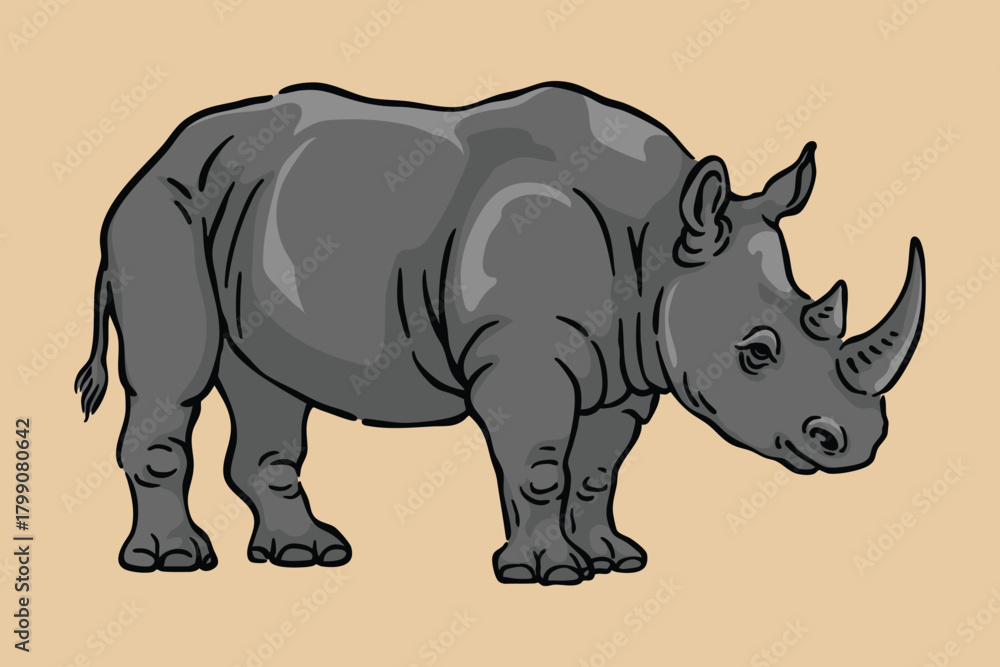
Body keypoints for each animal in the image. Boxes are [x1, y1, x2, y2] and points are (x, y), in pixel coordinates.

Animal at [76, 82, 925, 584]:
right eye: (757, 352)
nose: (855, 442)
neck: (659, 238)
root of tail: (152, 157)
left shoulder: (628, 368)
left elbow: (597, 470)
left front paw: (614, 559)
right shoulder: (524, 352)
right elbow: (540, 464)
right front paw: (550, 573)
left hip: (237, 207)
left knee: (267, 385)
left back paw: (307, 554)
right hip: (161, 210)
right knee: (176, 375)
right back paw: (172, 563)